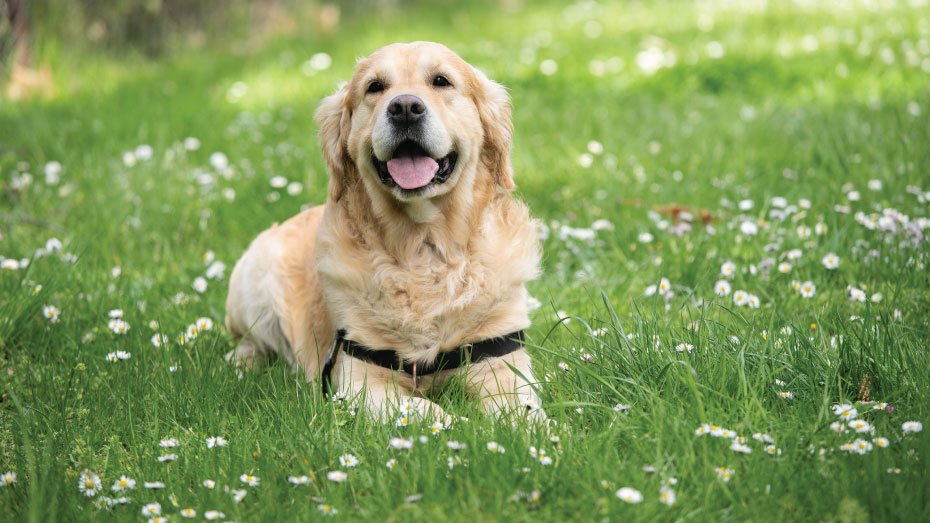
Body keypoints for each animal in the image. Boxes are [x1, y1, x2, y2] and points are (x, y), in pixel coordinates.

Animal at [225, 42, 544, 426]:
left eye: (441, 81)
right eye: (375, 87)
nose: (405, 108)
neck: (423, 247)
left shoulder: (501, 361)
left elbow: (525, 412)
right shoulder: (360, 381)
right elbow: (428, 412)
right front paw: (465, 429)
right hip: (254, 278)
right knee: (249, 342)